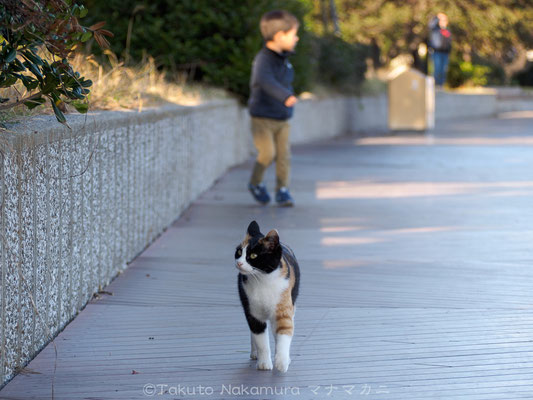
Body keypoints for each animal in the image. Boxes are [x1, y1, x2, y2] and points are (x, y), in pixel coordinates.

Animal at [234, 220, 300, 374]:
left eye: (253, 255)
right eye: (239, 252)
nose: (239, 262)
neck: (262, 280)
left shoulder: (283, 310)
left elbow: (284, 333)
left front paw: (281, 362)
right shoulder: (254, 314)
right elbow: (261, 341)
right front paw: (264, 363)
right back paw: (254, 353)